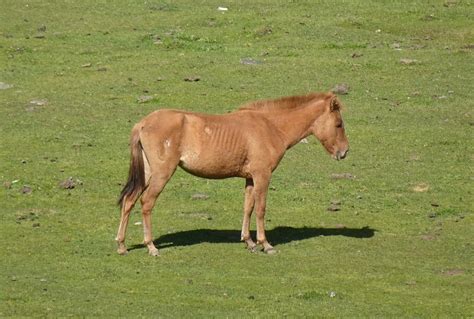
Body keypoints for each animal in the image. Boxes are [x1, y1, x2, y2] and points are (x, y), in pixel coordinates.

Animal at [117, 91, 350, 256]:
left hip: (146, 174)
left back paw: (121, 245)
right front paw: (265, 244)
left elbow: (248, 207)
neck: (270, 126)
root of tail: (143, 124)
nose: (344, 152)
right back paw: (151, 246)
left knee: (129, 200)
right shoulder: (262, 176)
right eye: (339, 124)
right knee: (146, 203)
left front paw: (249, 241)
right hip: (161, 174)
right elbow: (261, 209)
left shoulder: (249, 178)